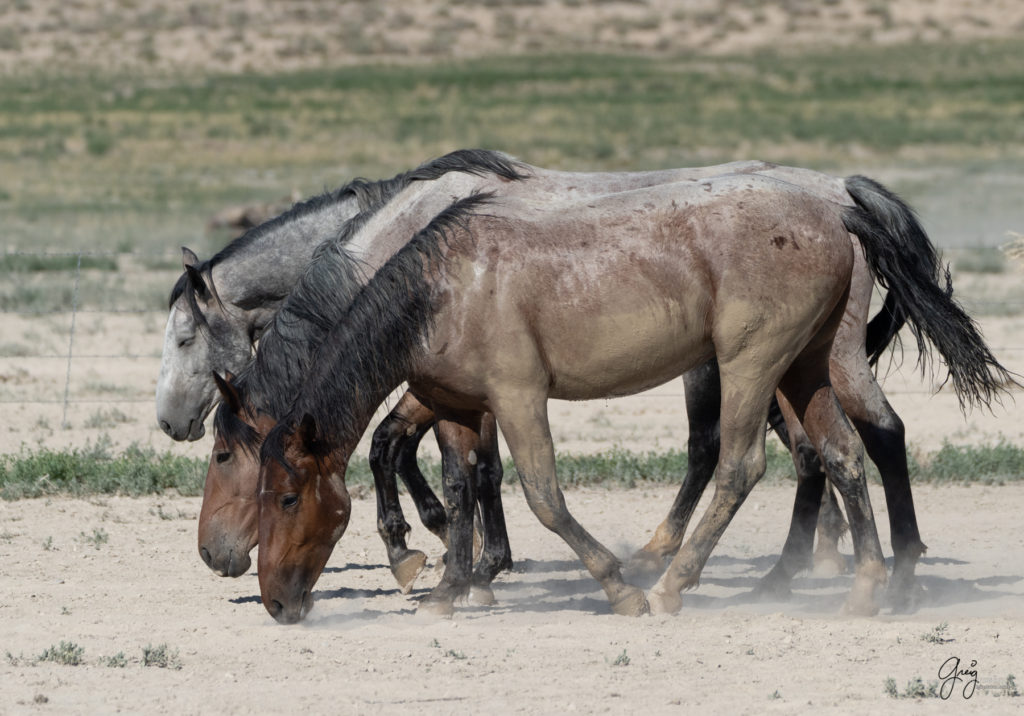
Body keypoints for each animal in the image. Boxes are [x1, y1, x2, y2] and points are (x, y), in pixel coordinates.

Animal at [253, 174, 1007, 622]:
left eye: (287, 498)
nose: (276, 603)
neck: (445, 288)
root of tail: (840, 212)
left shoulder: (519, 399)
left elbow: (544, 498)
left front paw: (618, 588)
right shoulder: (460, 409)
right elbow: (463, 492)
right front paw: (447, 588)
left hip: (751, 365)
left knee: (741, 465)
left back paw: (674, 581)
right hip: (807, 366)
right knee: (847, 451)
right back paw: (868, 586)